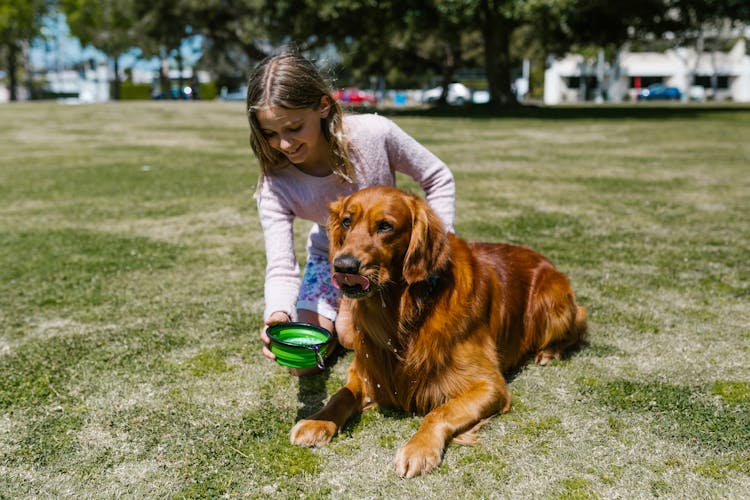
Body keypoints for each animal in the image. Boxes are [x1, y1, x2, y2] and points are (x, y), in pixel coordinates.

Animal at [290, 187, 592, 476]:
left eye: (386, 226)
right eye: (347, 222)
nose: (343, 266)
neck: (405, 312)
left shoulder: (490, 385)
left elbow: (439, 412)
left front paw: (419, 448)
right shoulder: (369, 369)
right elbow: (341, 394)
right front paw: (318, 420)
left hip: (552, 303)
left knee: (578, 324)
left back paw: (549, 352)